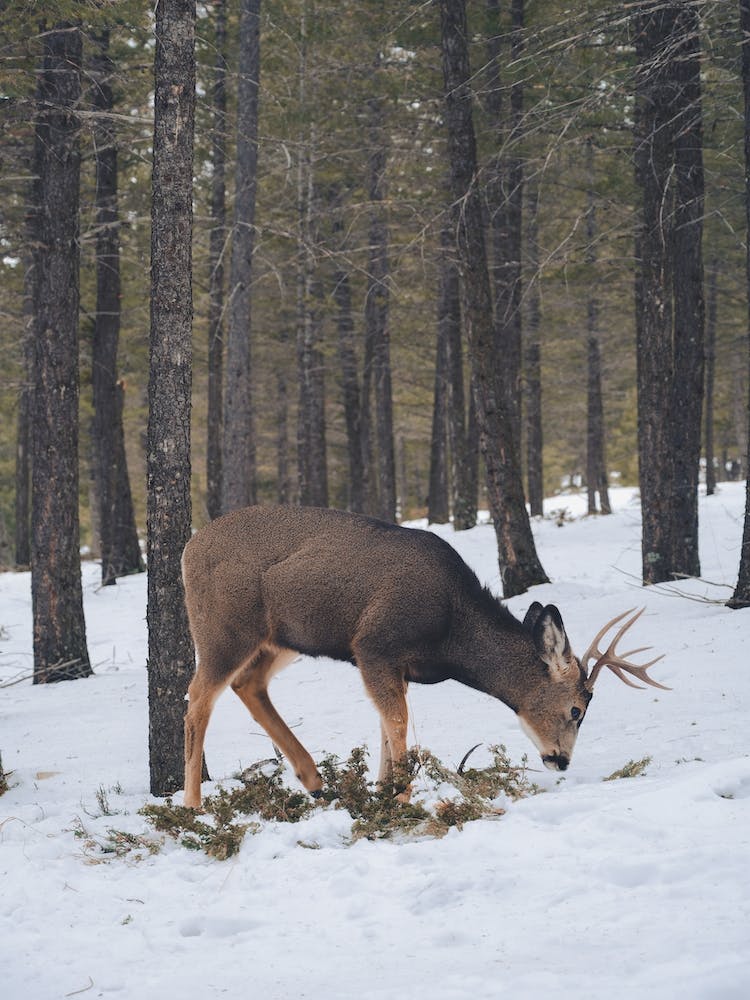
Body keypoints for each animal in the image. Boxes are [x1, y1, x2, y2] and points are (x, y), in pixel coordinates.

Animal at [181, 505, 667, 809]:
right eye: (576, 709)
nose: (560, 760)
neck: (452, 632)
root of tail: (188, 550)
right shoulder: (374, 644)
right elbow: (398, 723)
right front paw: (400, 797)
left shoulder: (390, 663)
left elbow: (384, 725)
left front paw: (381, 792)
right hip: (225, 627)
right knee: (198, 698)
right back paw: (192, 805)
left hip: (279, 640)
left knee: (248, 685)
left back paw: (315, 781)